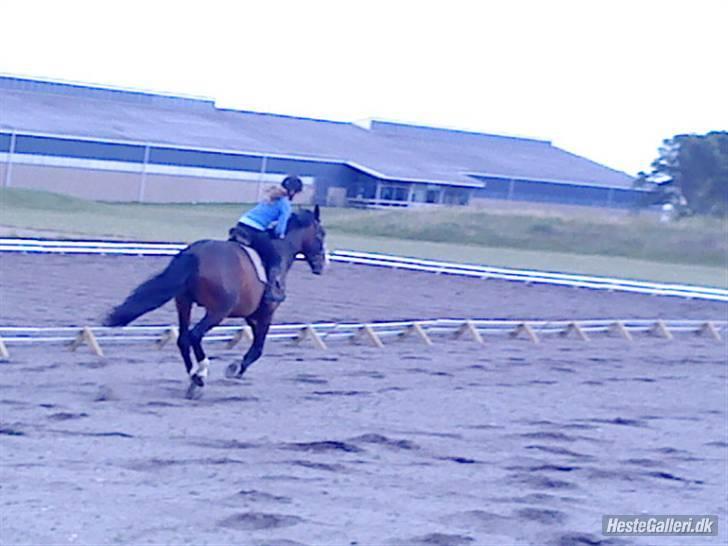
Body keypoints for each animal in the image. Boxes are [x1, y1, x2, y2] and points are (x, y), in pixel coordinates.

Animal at [103, 204, 328, 396]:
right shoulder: (266, 312)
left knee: (183, 339)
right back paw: (201, 373)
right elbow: (258, 349)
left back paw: (194, 378)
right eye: (321, 234)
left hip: (183, 302)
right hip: (218, 311)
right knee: (194, 335)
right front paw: (235, 369)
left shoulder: (251, 316)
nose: (322, 265)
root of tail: (195, 253)